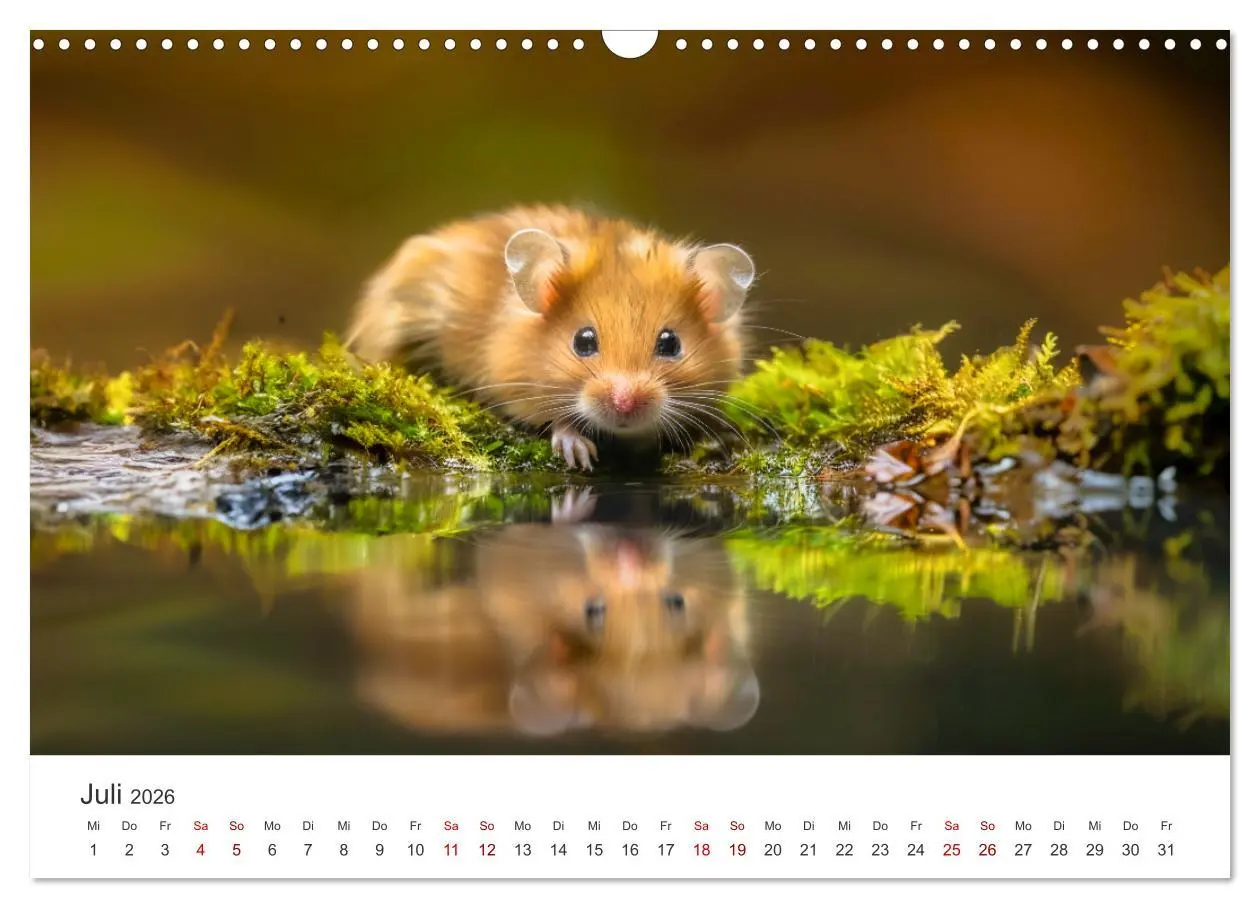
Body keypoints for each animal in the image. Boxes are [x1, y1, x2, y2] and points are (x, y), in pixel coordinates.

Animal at [345, 205, 757, 469]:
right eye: (583, 341)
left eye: (671, 344)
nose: (625, 406)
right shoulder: (513, 384)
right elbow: (554, 418)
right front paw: (578, 452)